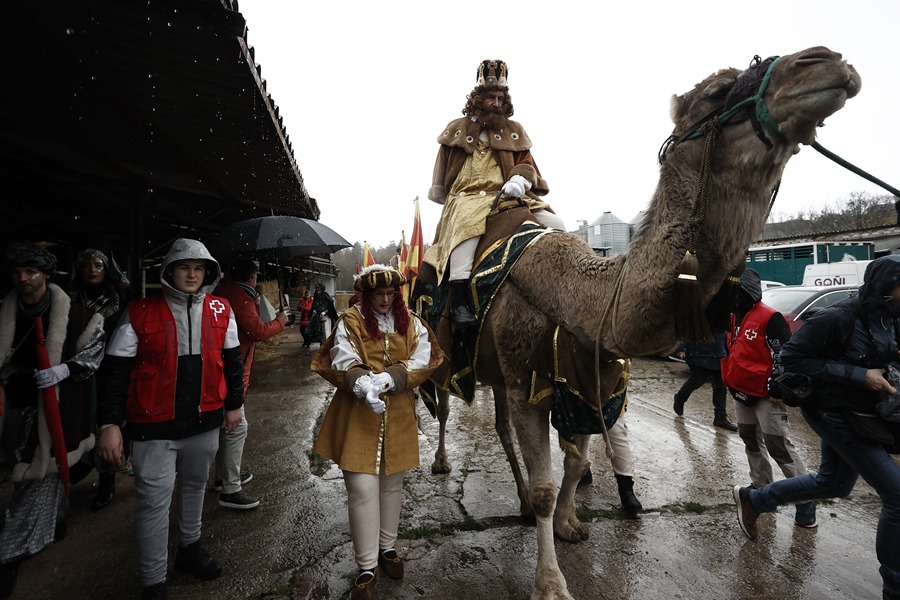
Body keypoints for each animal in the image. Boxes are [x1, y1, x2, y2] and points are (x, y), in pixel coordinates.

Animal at [426, 47, 860, 600]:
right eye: (716, 94)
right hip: (446, 349)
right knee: (443, 407)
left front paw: (569, 524)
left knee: (499, 426)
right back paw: (443, 462)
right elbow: (549, 484)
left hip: (497, 368)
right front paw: (551, 583)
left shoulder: (590, 377)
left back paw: (518, 502)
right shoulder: (529, 380)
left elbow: (577, 460)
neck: (580, 299)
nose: (825, 60)